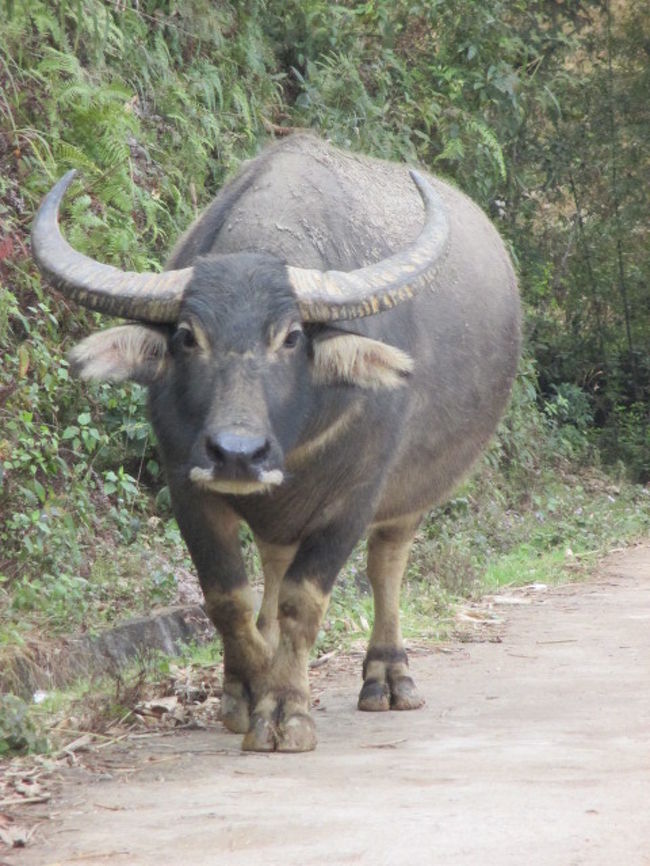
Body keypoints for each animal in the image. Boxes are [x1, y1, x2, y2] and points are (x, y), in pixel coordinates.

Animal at [31, 133, 520, 748]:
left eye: (290, 338)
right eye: (187, 336)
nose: (237, 454)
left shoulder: (354, 497)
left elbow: (303, 600)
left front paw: (286, 707)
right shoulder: (188, 486)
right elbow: (228, 598)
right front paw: (250, 688)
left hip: (414, 492)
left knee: (386, 563)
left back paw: (388, 677)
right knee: (273, 560)